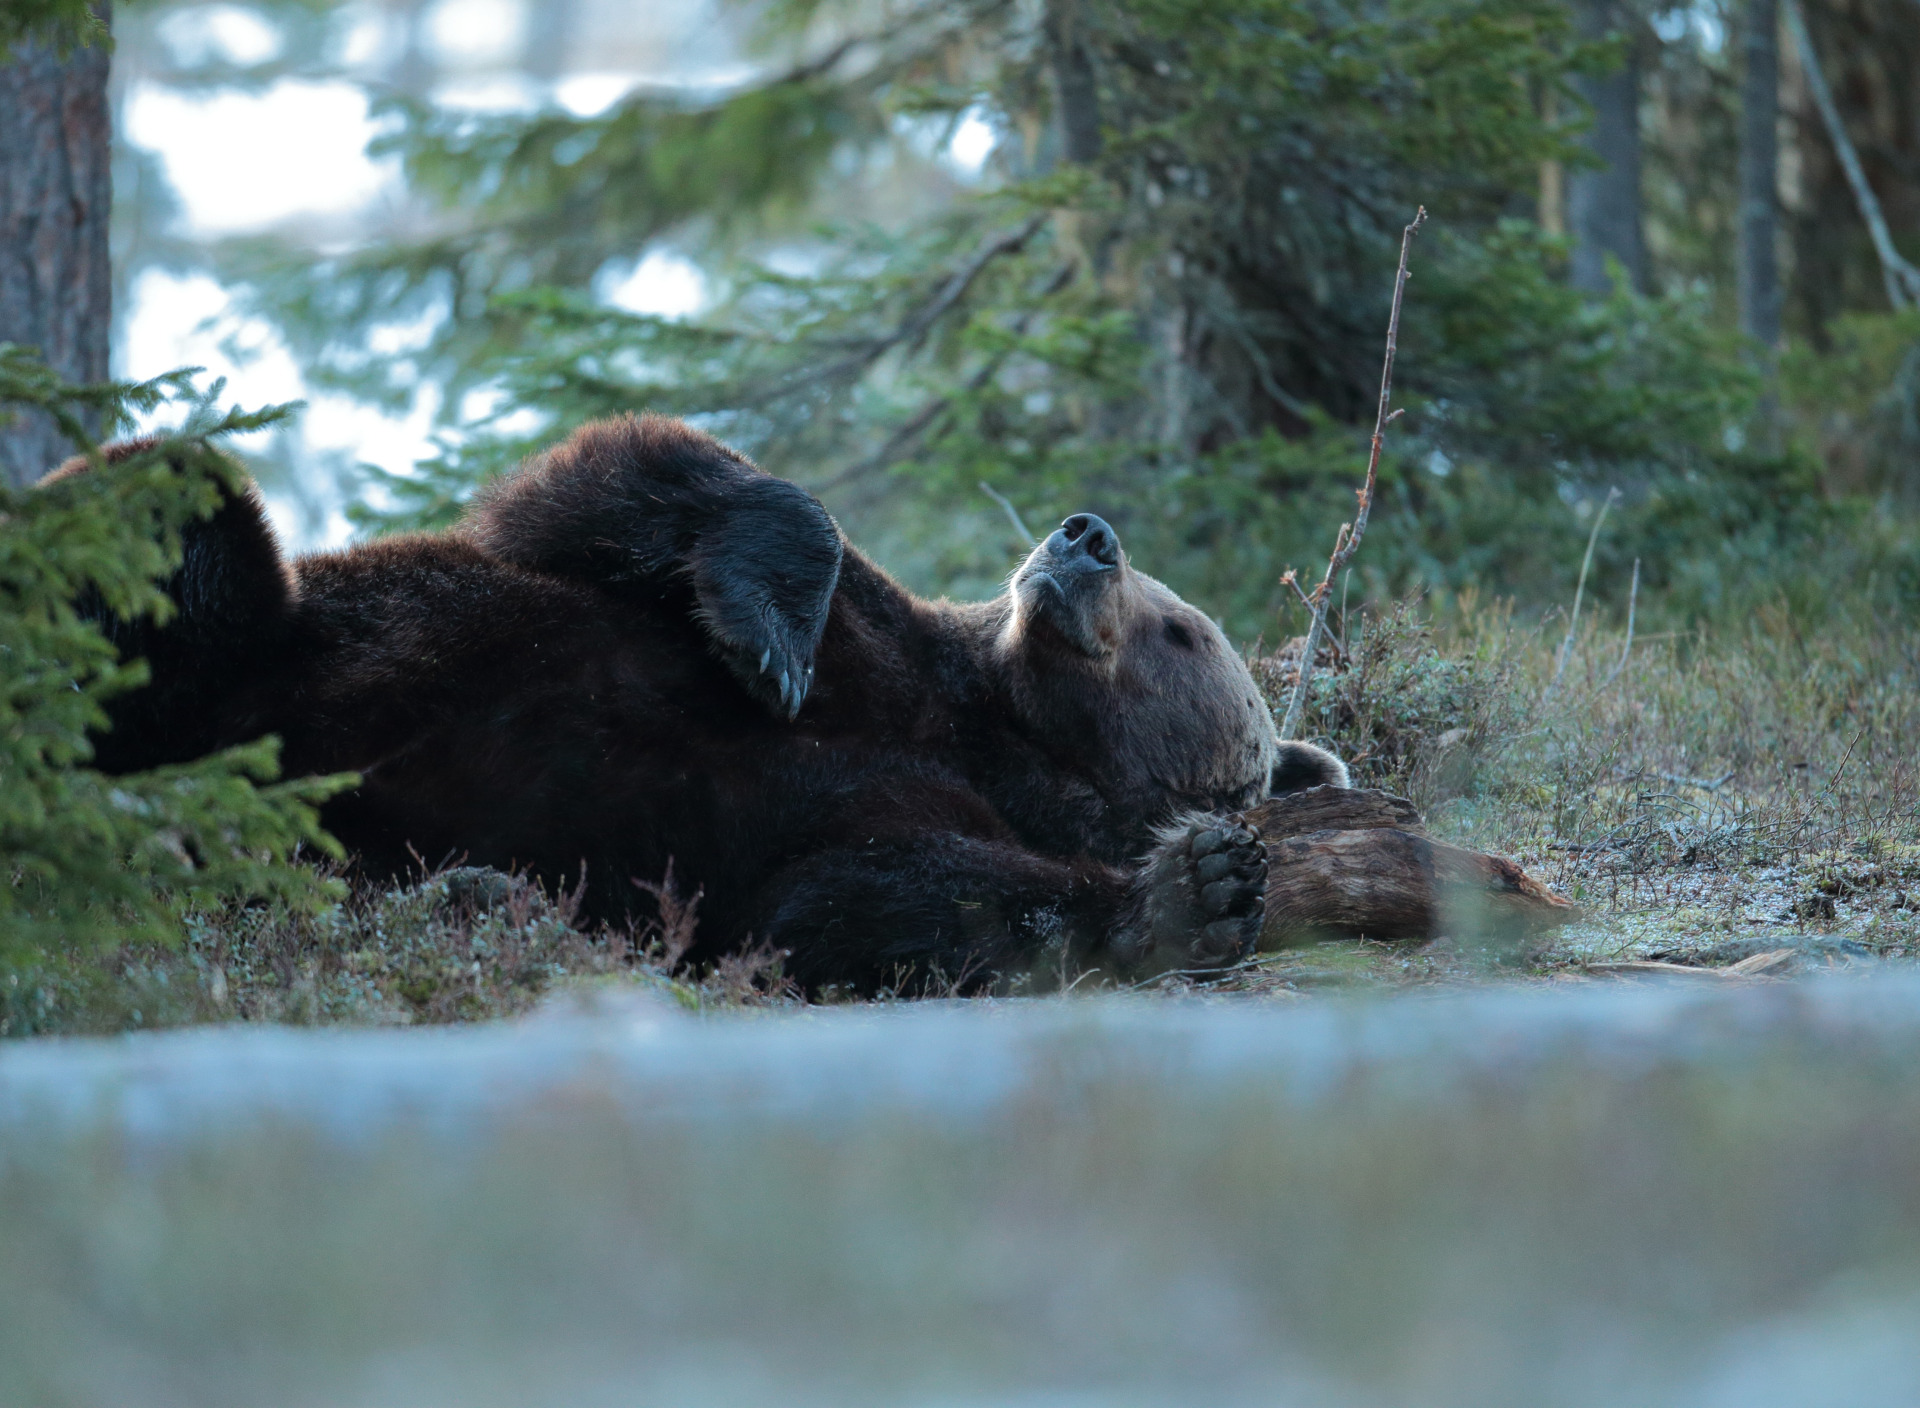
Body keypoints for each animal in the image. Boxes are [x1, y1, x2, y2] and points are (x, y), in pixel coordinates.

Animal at [60, 414, 1351, 991]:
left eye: (1183, 629)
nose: (1085, 535)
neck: (1001, 730)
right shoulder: (877, 650)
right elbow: (630, 484)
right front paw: (767, 636)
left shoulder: (918, 809)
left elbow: (866, 905)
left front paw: (1202, 885)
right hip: (272, 631)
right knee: (177, 512)